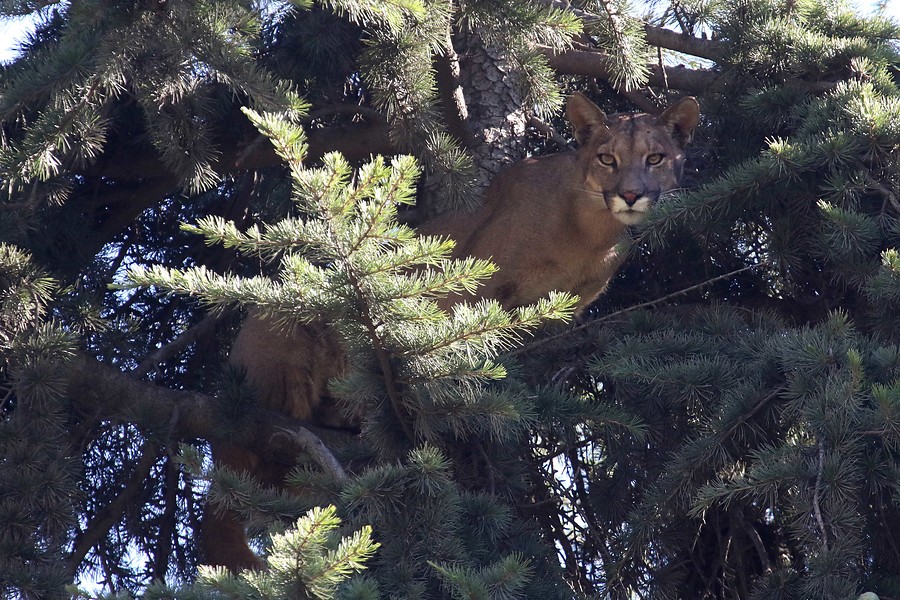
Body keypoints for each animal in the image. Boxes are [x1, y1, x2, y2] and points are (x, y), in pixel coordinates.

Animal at [202, 91, 696, 568]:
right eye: (607, 158)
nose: (630, 194)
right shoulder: (472, 278)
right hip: (281, 329)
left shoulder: (560, 311)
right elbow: (462, 338)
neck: (591, 232)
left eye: (655, 158)